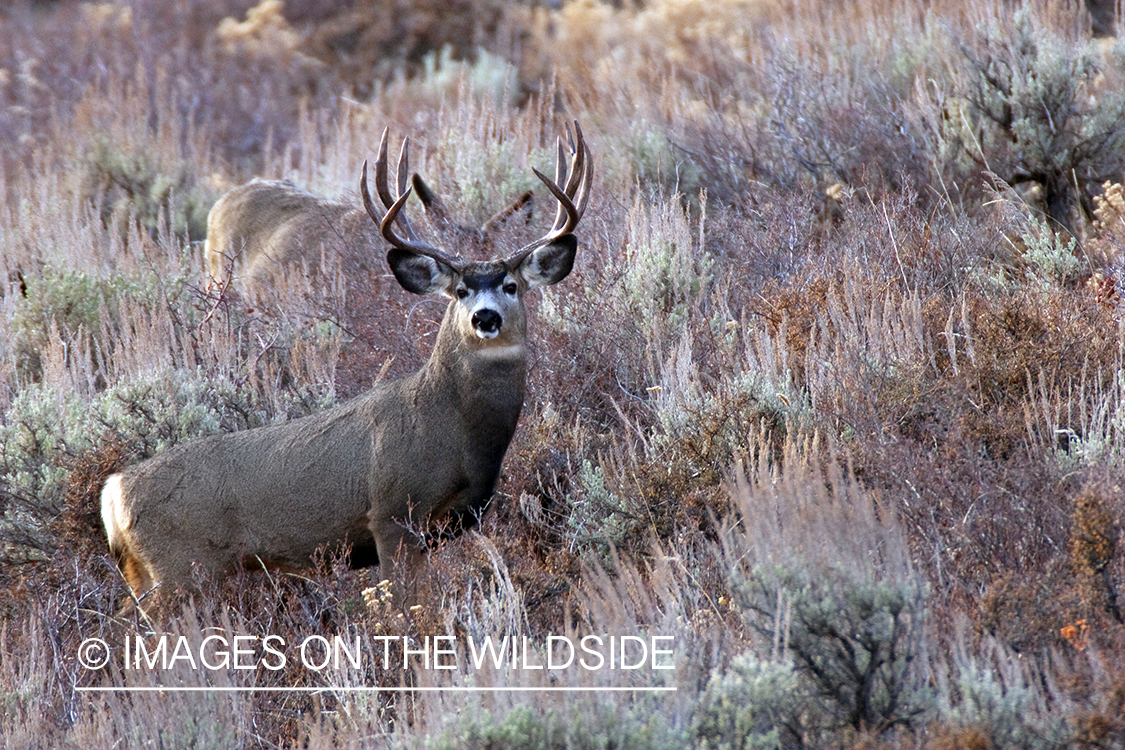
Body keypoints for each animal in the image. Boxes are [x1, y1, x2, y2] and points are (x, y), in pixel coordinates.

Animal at [101, 123, 592, 614]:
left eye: (511, 285)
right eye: (460, 291)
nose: (485, 317)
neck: (453, 427)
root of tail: (113, 493)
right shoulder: (391, 512)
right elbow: (405, 607)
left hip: (146, 572)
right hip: (182, 568)